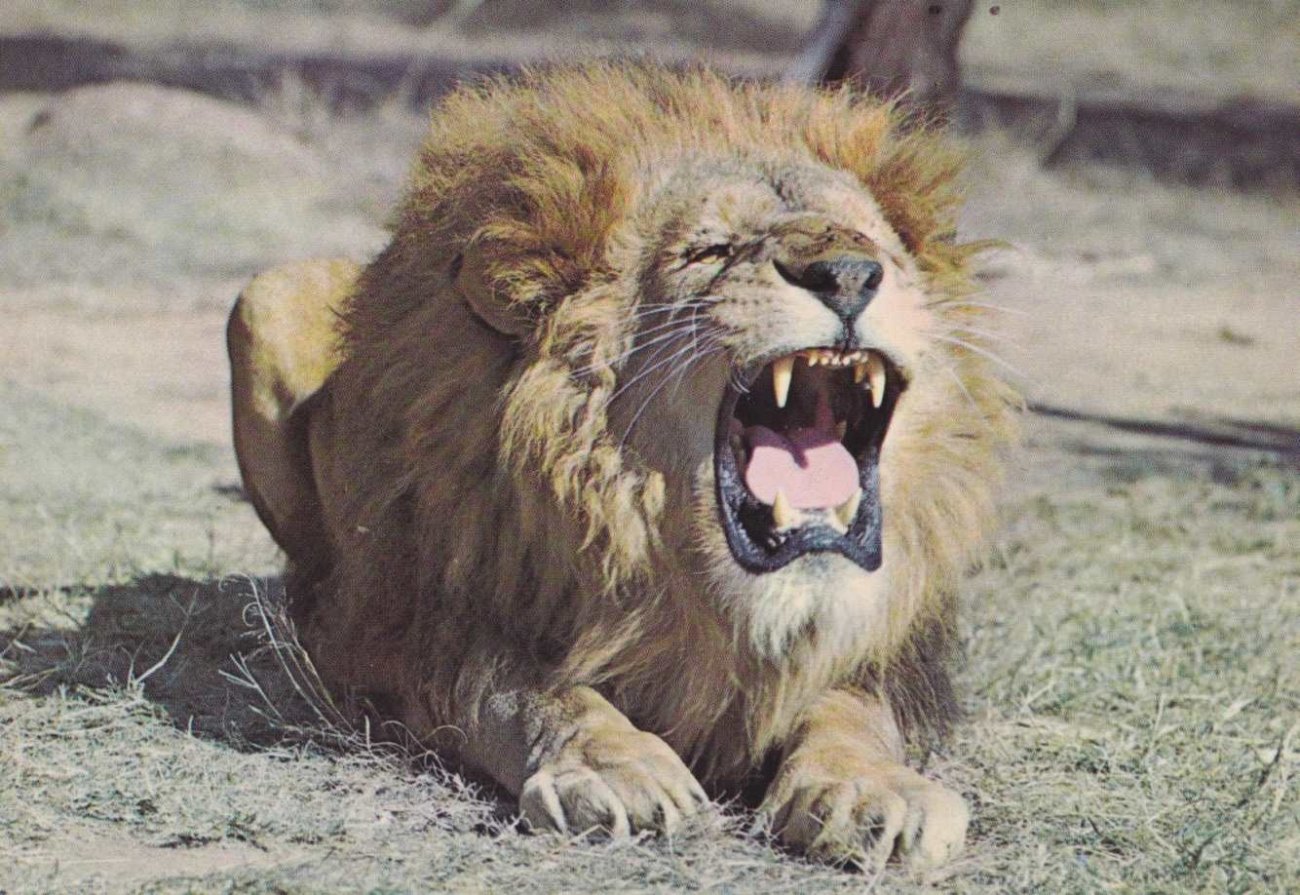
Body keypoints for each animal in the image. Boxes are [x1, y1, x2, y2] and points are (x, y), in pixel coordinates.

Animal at [228, 63, 1018, 869]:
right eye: (709, 251)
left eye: (874, 246)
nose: (849, 274)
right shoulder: (424, 616)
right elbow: (525, 689)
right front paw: (615, 768)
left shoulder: (888, 650)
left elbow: (853, 710)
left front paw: (867, 789)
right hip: (264, 297)